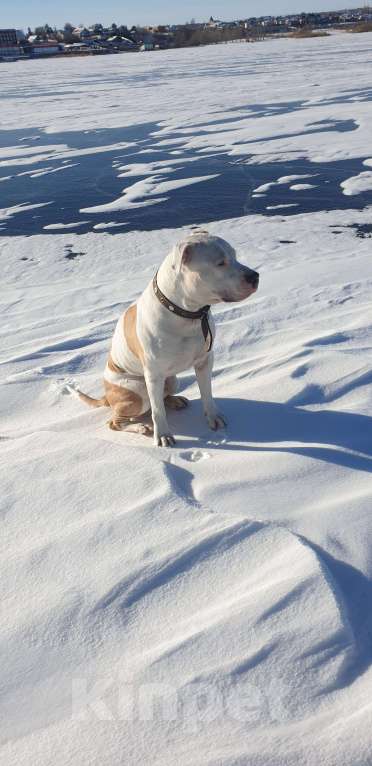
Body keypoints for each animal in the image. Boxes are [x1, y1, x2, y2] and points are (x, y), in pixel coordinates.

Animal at [75, 232, 258, 450]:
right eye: (220, 263)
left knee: (162, 397)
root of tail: (107, 397)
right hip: (138, 391)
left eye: (235, 256)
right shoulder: (153, 375)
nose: (255, 276)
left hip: (172, 379)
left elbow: (207, 393)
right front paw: (163, 435)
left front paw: (213, 417)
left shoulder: (205, 361)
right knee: (117, 421)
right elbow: (157, 411)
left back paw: (174, 401)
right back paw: (140, 427)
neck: (187, 313)